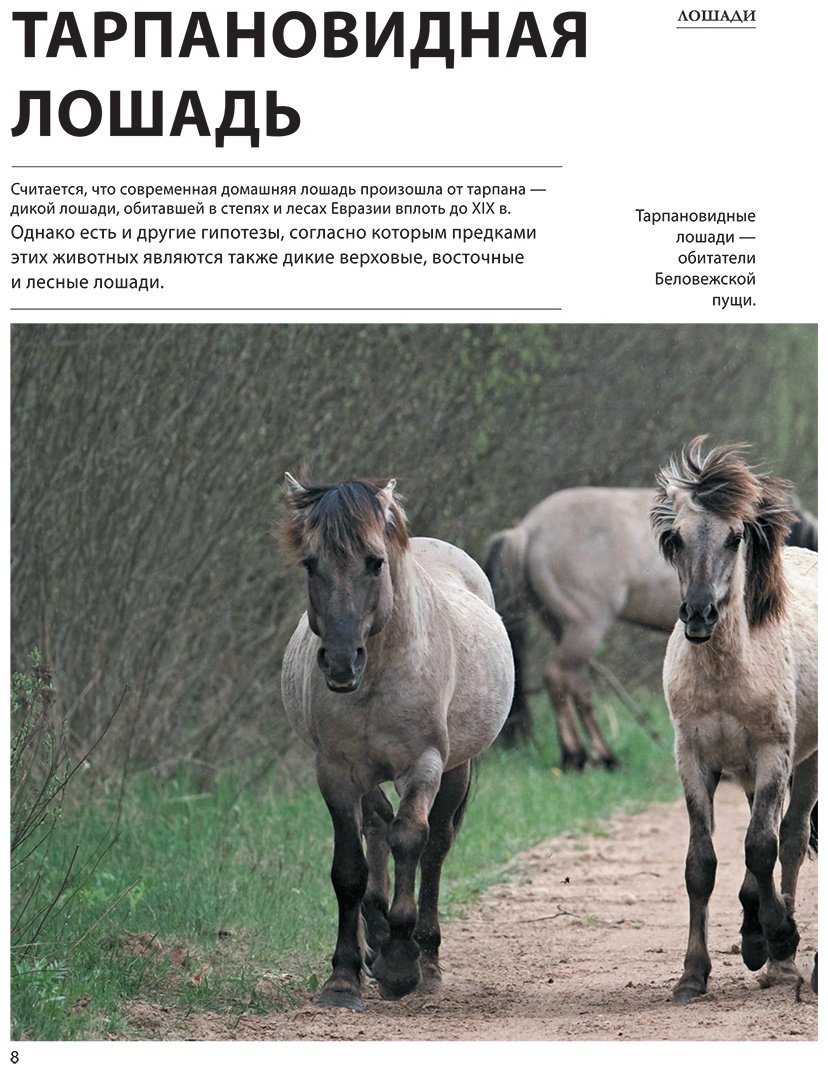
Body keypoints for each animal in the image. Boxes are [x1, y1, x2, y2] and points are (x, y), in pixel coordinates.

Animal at [278, 473, 514, 1011]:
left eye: (375, 562)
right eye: (311, 564)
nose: (341, 662)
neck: (380, 674)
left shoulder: (423, 765)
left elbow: (412, 840)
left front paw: (403, 965)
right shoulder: (337, 771)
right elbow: (350, 868)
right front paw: (344, 977)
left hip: (455, 768)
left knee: (433, 846)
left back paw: (425, 958)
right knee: (377, 826)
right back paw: (377, 938)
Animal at [483, 487, 817, 768]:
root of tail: (527, 530)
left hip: (562, 627)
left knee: (575, 683)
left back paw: (599, 756)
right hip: (585, 626)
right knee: (558, 677)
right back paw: (578, 756)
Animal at [651, 437, 818, 1003]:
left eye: (735, 536)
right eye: (675, 538)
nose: (700, 613)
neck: (726, 676)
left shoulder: (772, 754)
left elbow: (762, 848)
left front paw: (783, 937)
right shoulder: (694, 759)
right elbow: (701, 864)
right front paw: (691, 974)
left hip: (803, 764)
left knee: (789, 839)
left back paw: (781, 961)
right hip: (744, 772)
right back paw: (753, 938)